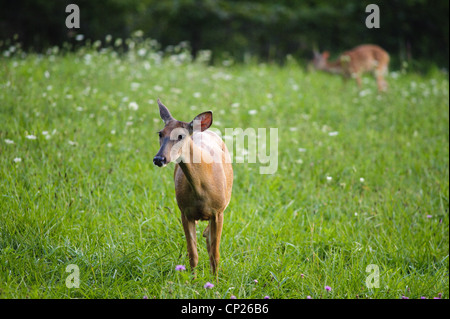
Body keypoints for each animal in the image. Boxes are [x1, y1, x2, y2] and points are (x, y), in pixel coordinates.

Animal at [153, 99, 234, 276]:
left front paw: (215, 280)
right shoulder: (185, 212)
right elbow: (193, 254)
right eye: (160, 133)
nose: (159, 158)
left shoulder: (218, 211)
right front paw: (192, 280)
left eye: (181, 136)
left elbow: (215, 254)